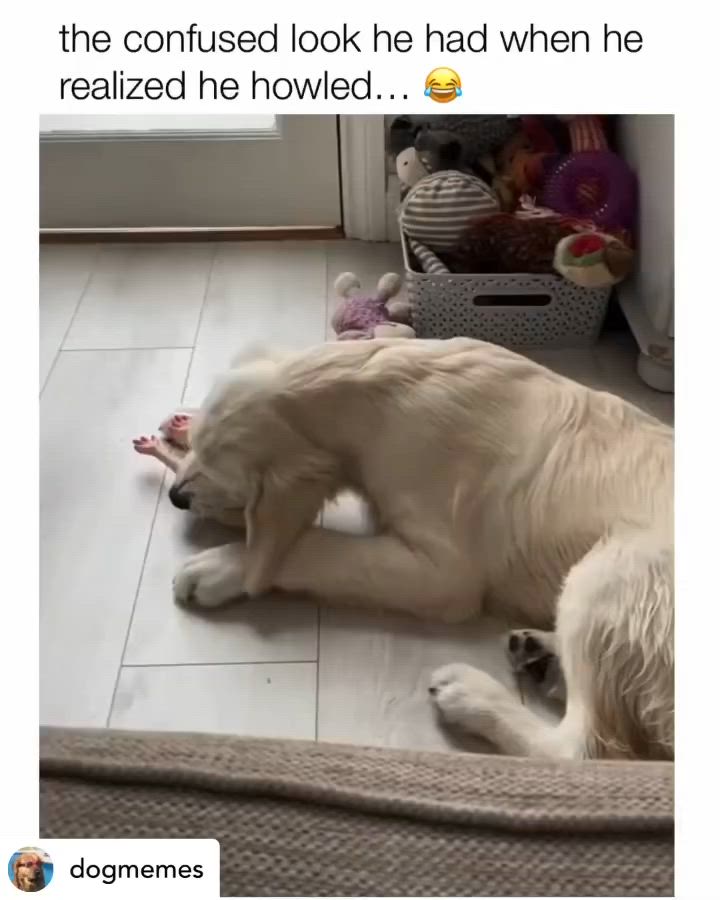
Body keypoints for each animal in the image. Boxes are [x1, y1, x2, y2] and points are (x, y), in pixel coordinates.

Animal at [149, 342, 672, 764]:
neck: (375, 393)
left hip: (609, 571)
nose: (176, 497)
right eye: (198, 452)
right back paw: (542, 652)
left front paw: (219, 566)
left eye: (219, 470)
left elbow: (312, 546)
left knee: (584, 751)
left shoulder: (443, 576)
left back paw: (472, 695)